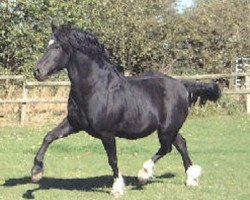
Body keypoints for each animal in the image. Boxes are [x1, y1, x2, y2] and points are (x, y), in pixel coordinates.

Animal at [31, 23, 221, 197]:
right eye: (48, 44)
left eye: (57, 46)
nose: (37, 71)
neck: (96, 88)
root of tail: (182, 85)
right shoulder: (73, 124)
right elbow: (49, 136)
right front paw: (36, 172)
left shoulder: (107, 133)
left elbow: (112, 159)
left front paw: (117, 188)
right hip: (169, 128)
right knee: (181, 144)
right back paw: (191, 179)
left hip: (167, 129)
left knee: (167, 148)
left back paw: (144, 174)